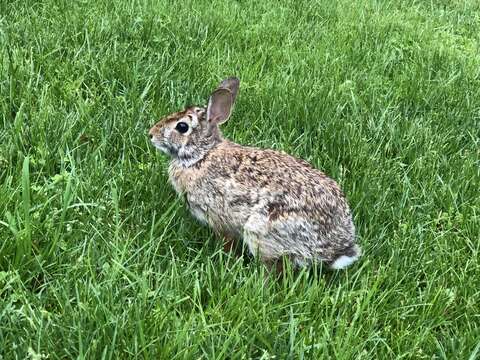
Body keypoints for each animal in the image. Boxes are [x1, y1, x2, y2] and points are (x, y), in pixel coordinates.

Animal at [149, 77, 360, 272]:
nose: (151, 134)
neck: (202, 155)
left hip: (261, 231)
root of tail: (335, 251)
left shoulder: (219, 218)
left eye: (182, 127)